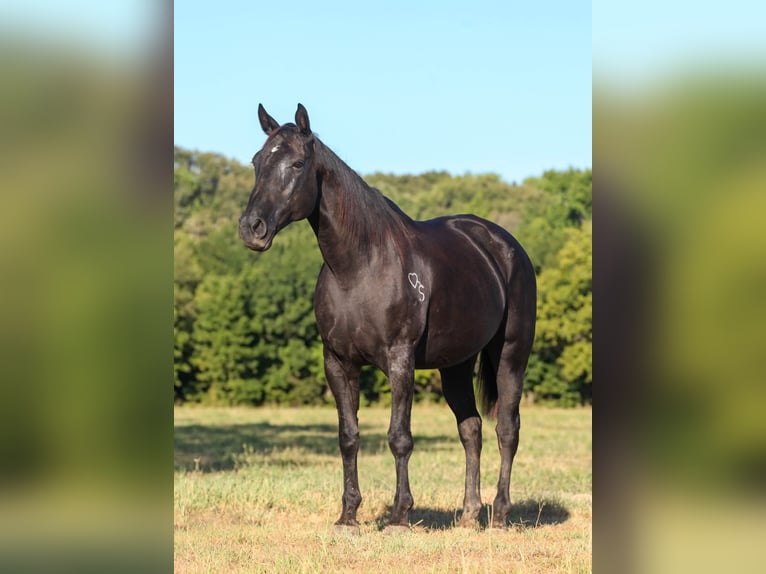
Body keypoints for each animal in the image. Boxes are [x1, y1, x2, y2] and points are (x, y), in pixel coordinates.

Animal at [239, 104, 536, 532]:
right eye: (257, 162)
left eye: (296, 163)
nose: (252, 228)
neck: (359, 267)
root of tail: (505, 245)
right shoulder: (338, 362)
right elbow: (348, 436)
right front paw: (348, 515)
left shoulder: (400, 360)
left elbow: (400, 437)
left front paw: (399, 514)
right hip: (456, 365)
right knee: (471, 430)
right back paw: (468, 513)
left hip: (511, 355)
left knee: (507, 429)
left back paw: (499, 513)